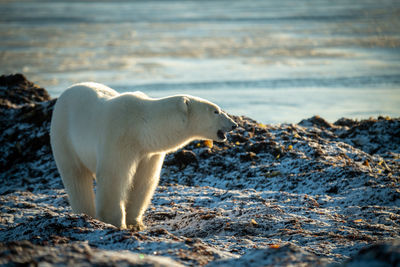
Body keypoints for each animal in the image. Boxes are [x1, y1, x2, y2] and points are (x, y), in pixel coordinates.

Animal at [50, 82, 238, 230]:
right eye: (215, 111)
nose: (234, 124)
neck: (140, 126)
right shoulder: (118, 138)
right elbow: (114, 177)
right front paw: (116, 223)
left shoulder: (148, 152)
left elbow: (144, 181)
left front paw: (136, 223)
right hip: (64, 136)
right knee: (76, 177)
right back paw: (86, 214)